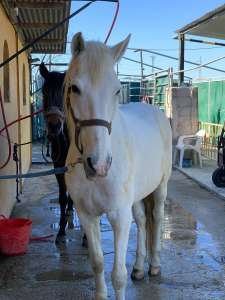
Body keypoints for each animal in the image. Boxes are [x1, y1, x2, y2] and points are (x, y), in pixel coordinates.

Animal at [64, 32, 172, 300]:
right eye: (75, 88)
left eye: (116, 90)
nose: (99, 165)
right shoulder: (87, 215)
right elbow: (98, 263)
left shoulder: (119, 217)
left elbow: (118, 276)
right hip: (137, 196)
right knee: (143, 221)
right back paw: (140, 268)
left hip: (161, 187)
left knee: (157, 217)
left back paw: (154, 265)